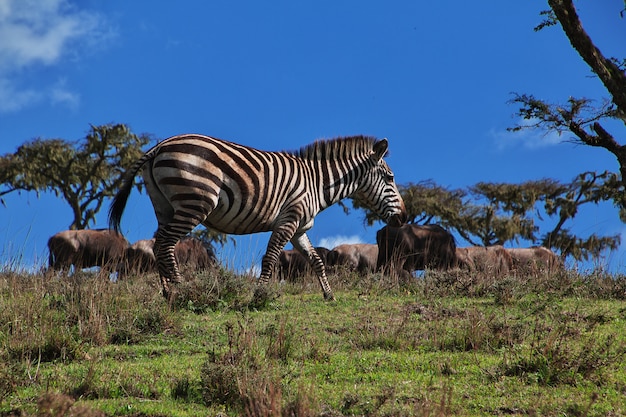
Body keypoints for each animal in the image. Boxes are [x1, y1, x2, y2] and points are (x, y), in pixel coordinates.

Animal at [109, 135, 408, 300]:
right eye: (390, 178)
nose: (404, 218)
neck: (316, 183)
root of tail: (160, 146)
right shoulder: (288, 219)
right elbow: (271, 258)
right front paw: (259, 296)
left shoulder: (299, 228)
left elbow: (317, 261)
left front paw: (329, 295)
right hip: (195, 202)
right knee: (167, 244)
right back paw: (183, 289)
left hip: (164, 205)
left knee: (159, 243)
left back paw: (168, 292)